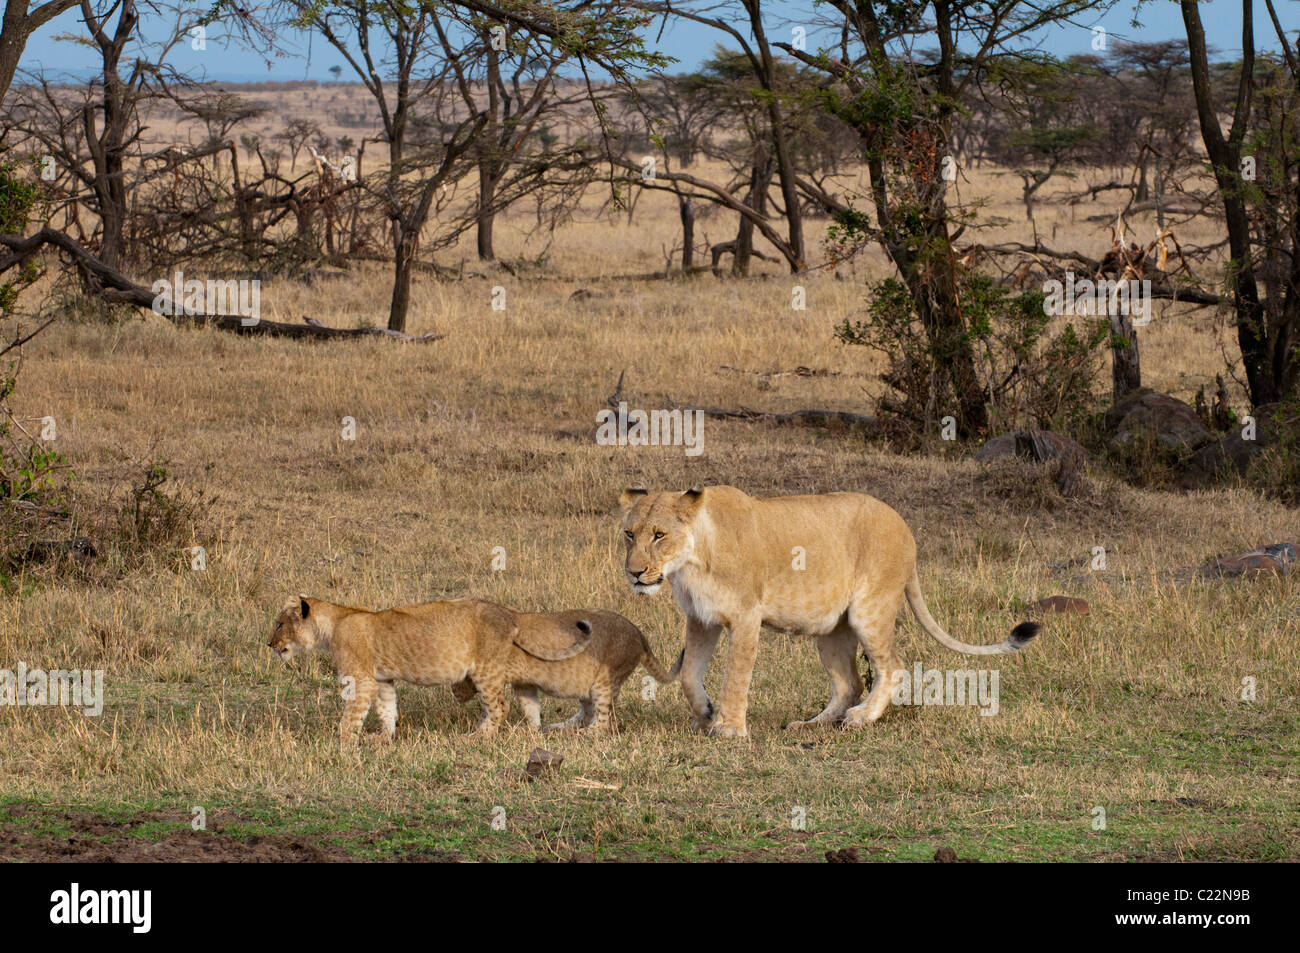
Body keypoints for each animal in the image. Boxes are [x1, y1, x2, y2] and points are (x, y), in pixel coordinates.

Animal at [267, 596, 590, 744]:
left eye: (280, 623)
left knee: (501, 706)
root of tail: (509, 612)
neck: (332, 625)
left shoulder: (361, 679)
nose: (269, 643)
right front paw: (384, 737)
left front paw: (343, 742)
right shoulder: (382, 680)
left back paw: (478, 737)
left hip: (485, 670)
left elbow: (352, 715)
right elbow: (387, 709)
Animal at [451, 609, 681, 731]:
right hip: (587, 683)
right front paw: (533, 730)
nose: (455, 694)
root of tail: (639, 633)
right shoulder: (524, 683)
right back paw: (559, 727)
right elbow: (530, 706)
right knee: (587, 712)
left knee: (602, 722)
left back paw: (583, 733)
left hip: (605, 680)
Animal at [618, 484, 1039, 737]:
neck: (690, 562)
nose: (634, 573)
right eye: (629, 534)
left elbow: (735, 676)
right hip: (831, 630)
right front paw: (704, 713)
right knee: (850, 682)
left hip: (870, 609)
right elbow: (690, 674)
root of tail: (904, 527)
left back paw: (861, 718)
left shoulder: (746, 617)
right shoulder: (702, 620)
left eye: (659, 535)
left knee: (893, 667)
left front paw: (730, 728)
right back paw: (812, 725)